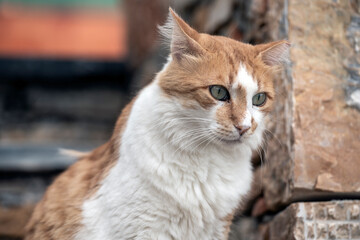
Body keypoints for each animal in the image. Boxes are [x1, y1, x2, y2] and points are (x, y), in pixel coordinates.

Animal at [25, 7, 290, 240]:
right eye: (218, 92)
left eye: (259, 99)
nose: (245, 126)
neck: (207, 160)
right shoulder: (143, 227)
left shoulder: (216, 227)